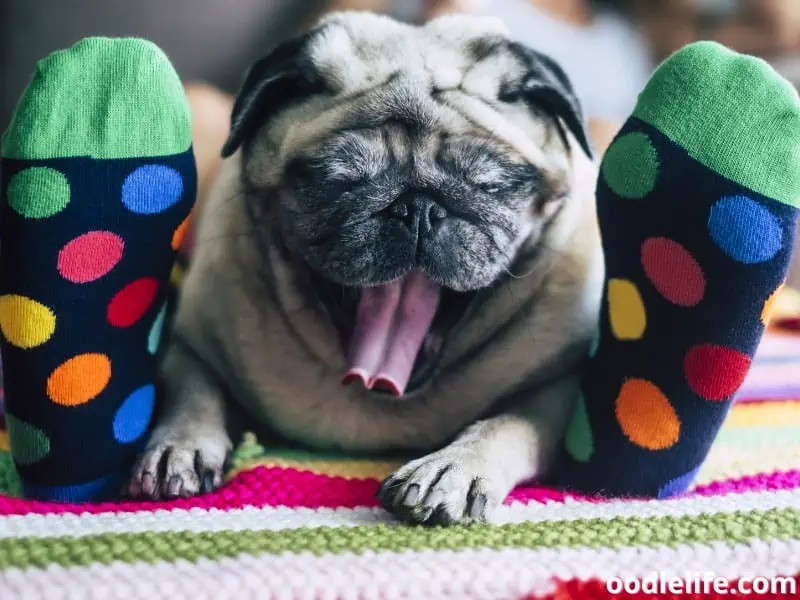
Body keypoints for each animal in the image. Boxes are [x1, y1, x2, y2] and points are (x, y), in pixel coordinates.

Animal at [128, 10, 604, 524]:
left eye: (489, 185)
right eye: (338, 180)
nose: (418, 208)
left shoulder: (559, 388)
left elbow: (509, 423)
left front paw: (454, 468)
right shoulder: (191, 341)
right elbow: (193, 390)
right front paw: (181, 444)